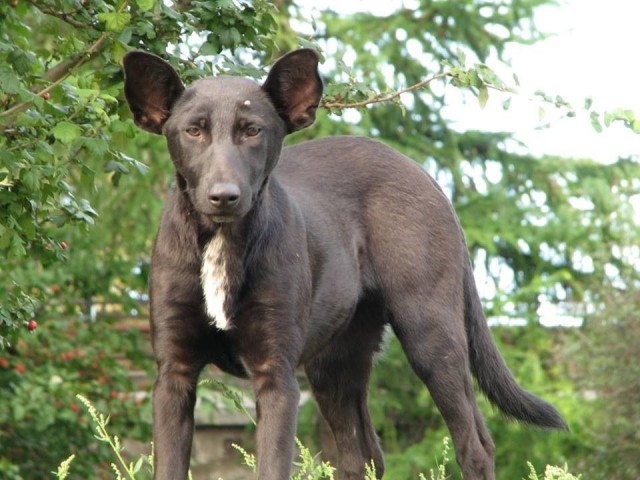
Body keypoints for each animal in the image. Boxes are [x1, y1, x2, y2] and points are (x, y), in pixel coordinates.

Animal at [124, 49, 564, 480]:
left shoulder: (277, 376)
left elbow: (271, 466)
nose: (224, 196)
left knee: (474, 446)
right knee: (363, 456)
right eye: (193, 131)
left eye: (252, 131)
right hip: (334, 363)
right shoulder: (174, 375)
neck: (222, 240)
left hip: (432, 336)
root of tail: (423, 174)